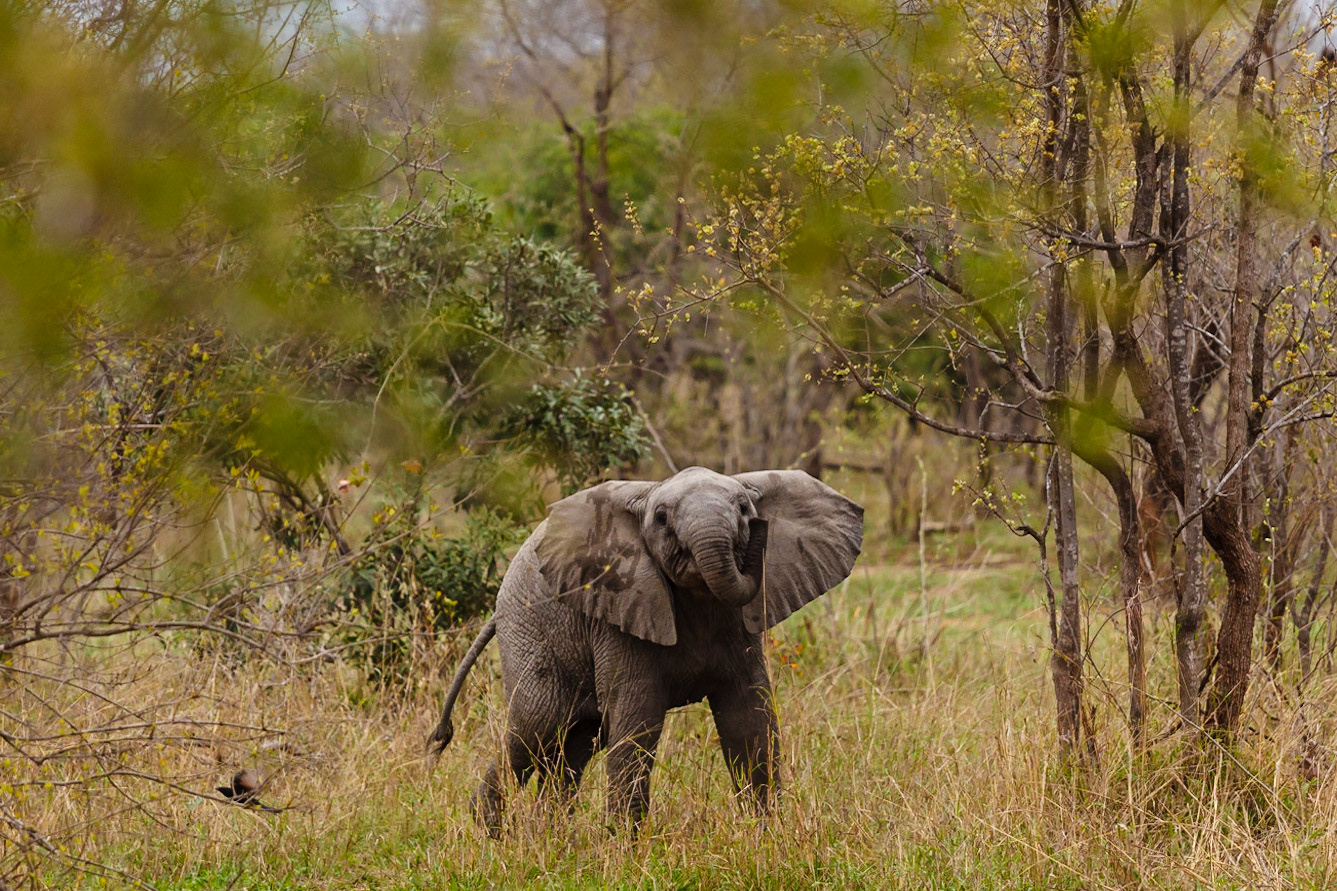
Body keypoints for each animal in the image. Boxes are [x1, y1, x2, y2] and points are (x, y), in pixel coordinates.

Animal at [428, 466, 863, 835]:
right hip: (529, 628)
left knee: (572, 747)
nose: (759, 527)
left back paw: (549, 839)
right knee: (536, 727)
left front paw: (767, 835)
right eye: (663, 519)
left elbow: (748, 718)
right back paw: (489, 832)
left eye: (744, 509)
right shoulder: (621, 614)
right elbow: (638, 721)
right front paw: (623, 851)